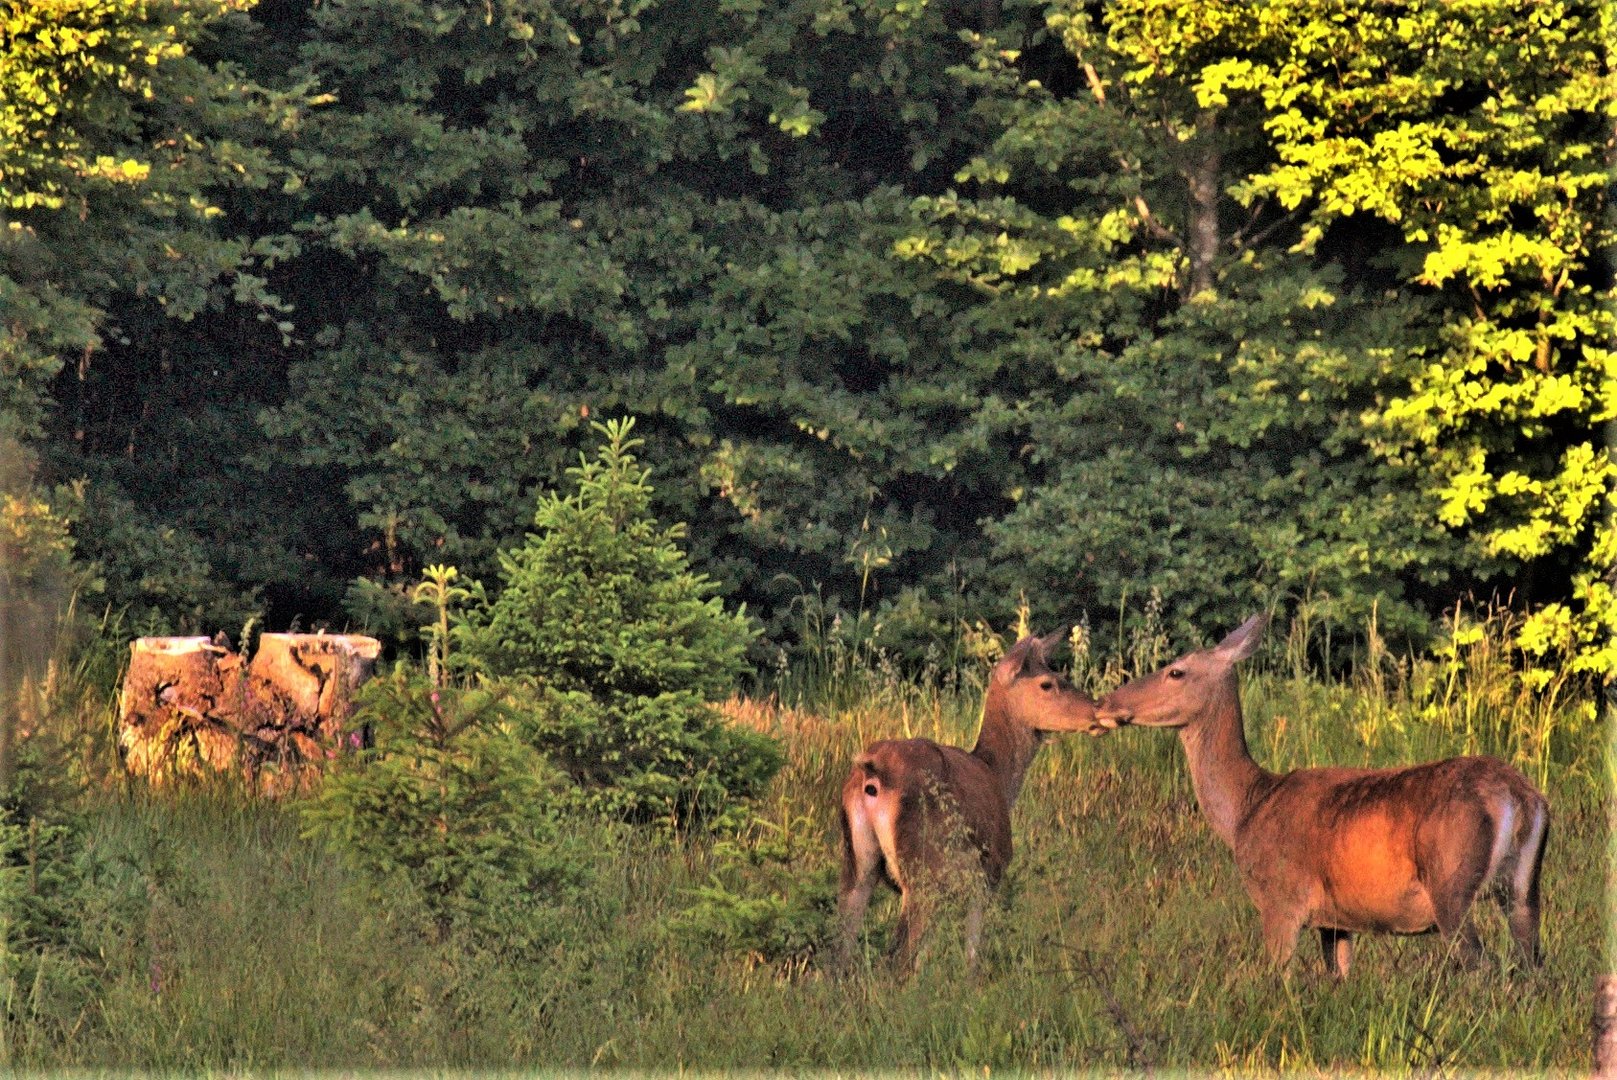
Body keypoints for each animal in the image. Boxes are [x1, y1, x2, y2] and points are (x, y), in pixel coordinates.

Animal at [840, 627, 1106, 976]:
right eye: (1048, 682)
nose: (1098, 711)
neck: (996, 774)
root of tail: (872, 772)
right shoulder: (990, 872)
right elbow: (972, 957)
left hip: (857, 863)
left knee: (838, 950)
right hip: (924, 871)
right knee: (896, 957)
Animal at [1093, 614, 1545, 976]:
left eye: (1176, 671)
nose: (1105, 703)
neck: (1247, 808)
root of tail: (1518, 795)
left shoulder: (1281, 899)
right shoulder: (1336, 920)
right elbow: (1339, 976)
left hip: (1451, 881)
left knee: (1483, 966)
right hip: (1524, 888)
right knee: (1533, 964)